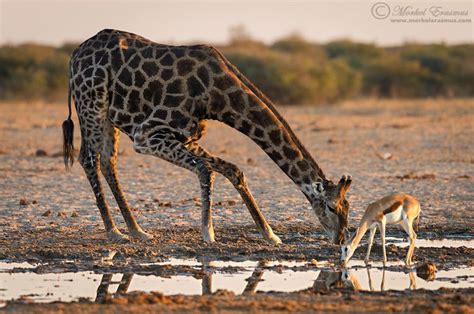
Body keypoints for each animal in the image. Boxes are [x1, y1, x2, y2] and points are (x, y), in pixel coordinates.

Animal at [62, 28, 352, 245]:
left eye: (347, 208)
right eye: (331, 207)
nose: (340, 239)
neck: (216, 96)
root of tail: (75, 55)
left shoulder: (188, 137)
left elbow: (232, 170)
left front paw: (269, 234)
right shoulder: (148, 135)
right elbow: (205, 170)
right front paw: (209, 234)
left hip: (108, 115)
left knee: (107, 162)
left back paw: (136, 230)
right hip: (91, 103)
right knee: (88, 158)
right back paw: (114, 231)